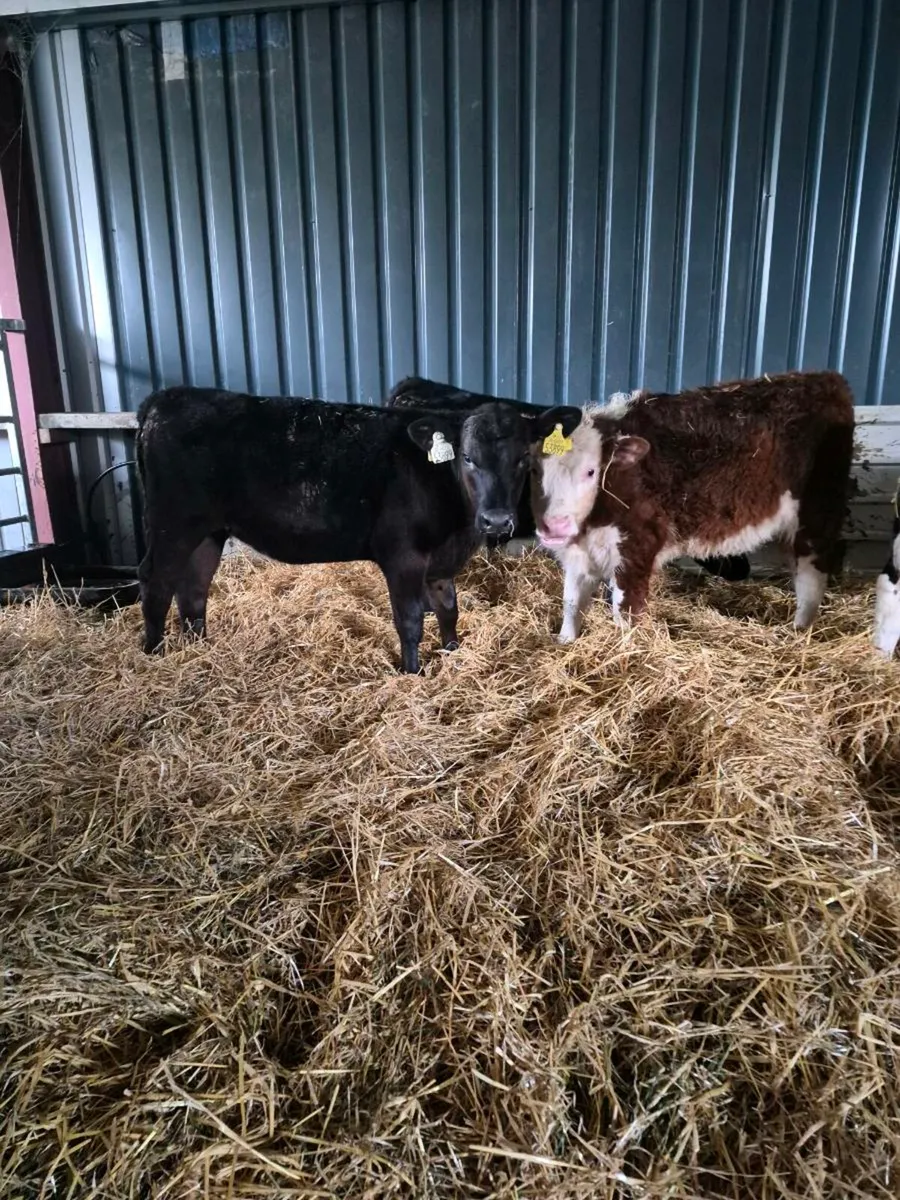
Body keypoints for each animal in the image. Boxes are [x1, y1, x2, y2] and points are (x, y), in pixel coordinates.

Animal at [135, 387, 580, 673]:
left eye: (525, 458)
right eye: (467, 457)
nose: (497, 520)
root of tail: (164, 399)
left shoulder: (440, 560)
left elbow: (448, 609)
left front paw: (453, 654)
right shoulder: (403, 555)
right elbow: (411, 619)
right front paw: (412, 673)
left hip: (208, 530)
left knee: (193, 588)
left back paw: (200, 650)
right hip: (172, 523)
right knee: (155, 582)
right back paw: (153, 655)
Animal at [529, 371, 855, 642]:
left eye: (591, 471)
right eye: (533, 470)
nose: (554, 526)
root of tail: (825, 378)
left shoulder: (637, 549)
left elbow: (626, 613)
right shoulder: (578, 556)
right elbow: (571, 606)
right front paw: (564, 643)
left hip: (817, 513)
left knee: (812, 577)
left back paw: (801, 632)